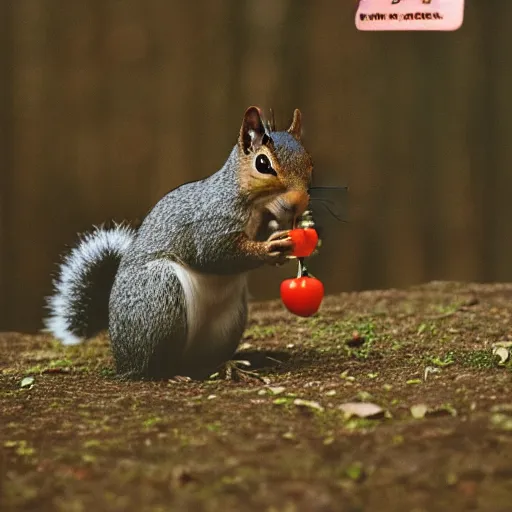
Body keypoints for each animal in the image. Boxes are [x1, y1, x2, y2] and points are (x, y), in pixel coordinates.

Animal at [44, 107, 314, 380]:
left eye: (309, 162)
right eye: (262, 164)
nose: (298, 203)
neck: (256, 207)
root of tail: (120, 352)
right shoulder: (208, 224)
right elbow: (216, 254)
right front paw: (269, 248)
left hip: (227, 323)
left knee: (202, 361)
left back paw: (225, 366)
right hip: (160, 297)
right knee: (149, 366)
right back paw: (168, 374)